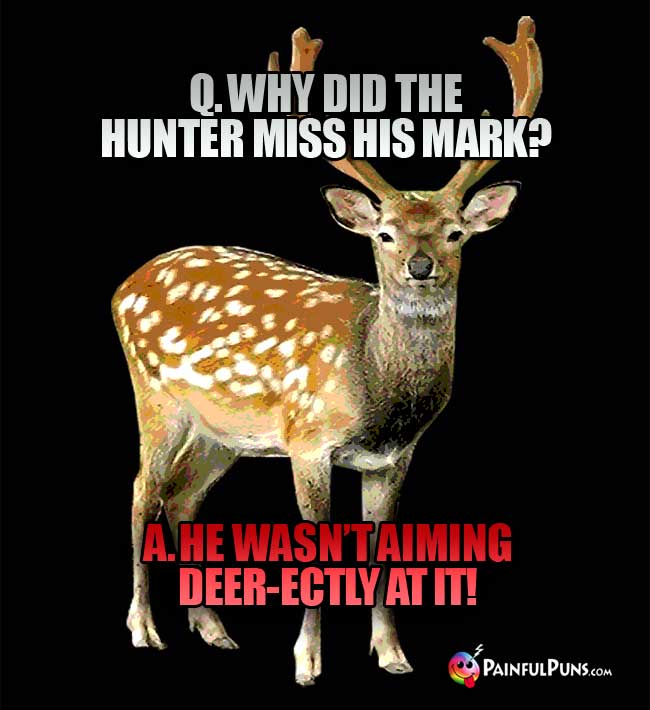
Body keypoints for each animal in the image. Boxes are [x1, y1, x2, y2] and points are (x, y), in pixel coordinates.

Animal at [112, 17, 542, 685]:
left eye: (455, 232)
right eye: (385, 234)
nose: (422, 267)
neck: (373, 387)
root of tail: (123, 285)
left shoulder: (393, 457)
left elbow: (383, 550)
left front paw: (392, 654)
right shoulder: (308, 438)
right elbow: (316, 546)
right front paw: (307, 661)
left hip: (222, 433)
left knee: (181, 499)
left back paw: (214, 629)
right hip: (155, 396)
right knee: (141, 491)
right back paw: (144, 630)